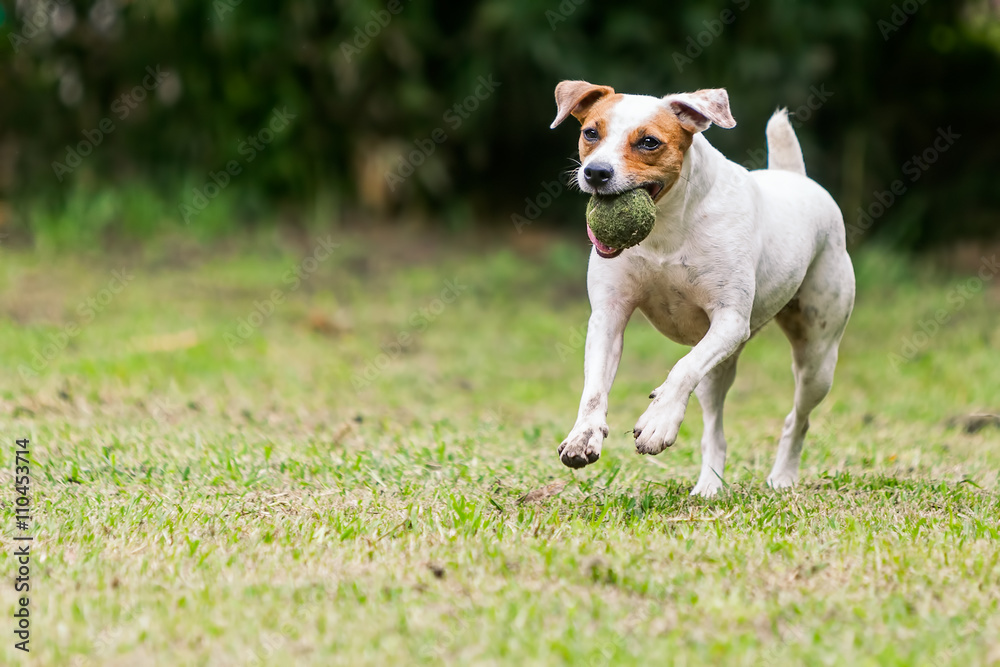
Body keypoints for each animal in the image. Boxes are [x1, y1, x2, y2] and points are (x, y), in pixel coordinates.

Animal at [552, 81, 856, 496]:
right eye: (590, 133)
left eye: (649, 142)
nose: (596, 172)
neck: (665, 228)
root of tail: (796, 177)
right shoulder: (608, 316)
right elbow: (595, 386)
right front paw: (584, 435)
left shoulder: (730, 321)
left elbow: (682, 369)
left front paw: (658, 421)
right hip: (719, 370)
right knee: (715, 429)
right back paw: (709, 486)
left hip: (817, 360)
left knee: (798, 417)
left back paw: (782, 476)